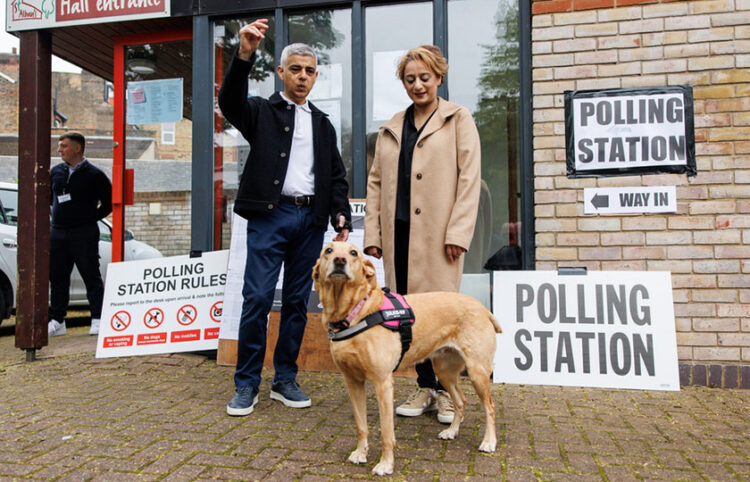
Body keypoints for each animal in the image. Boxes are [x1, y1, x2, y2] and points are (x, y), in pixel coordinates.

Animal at [314, 241, 502, 474]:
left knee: (490, 407)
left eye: (353, 253)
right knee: (461, 400)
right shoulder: (353, 381)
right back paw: (452, 431)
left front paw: (385, 464)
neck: (356, 314)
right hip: (445, 371)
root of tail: (482, 308)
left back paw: (489, 441)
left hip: (477, 372)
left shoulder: (383, 383)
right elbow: (361, 425)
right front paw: (360, 453)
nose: (340, 261)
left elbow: (386, 432)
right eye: (328, 250)